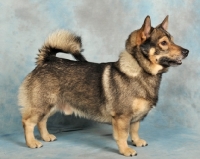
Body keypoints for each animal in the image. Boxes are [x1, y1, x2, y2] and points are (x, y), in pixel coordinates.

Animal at [18, 16, 189, 157]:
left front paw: (137, 141)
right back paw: (32, 143)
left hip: (50, 106)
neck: (140, 70)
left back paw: (46, 137)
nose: (187, 51)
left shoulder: (135, 117)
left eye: (173, 40)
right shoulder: (122, 117)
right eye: (164, 43)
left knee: (42, 121)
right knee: (28, 122)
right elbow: (123, 135)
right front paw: (126, 150)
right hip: (41, 105)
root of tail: (47, 60)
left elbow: (134, 130)